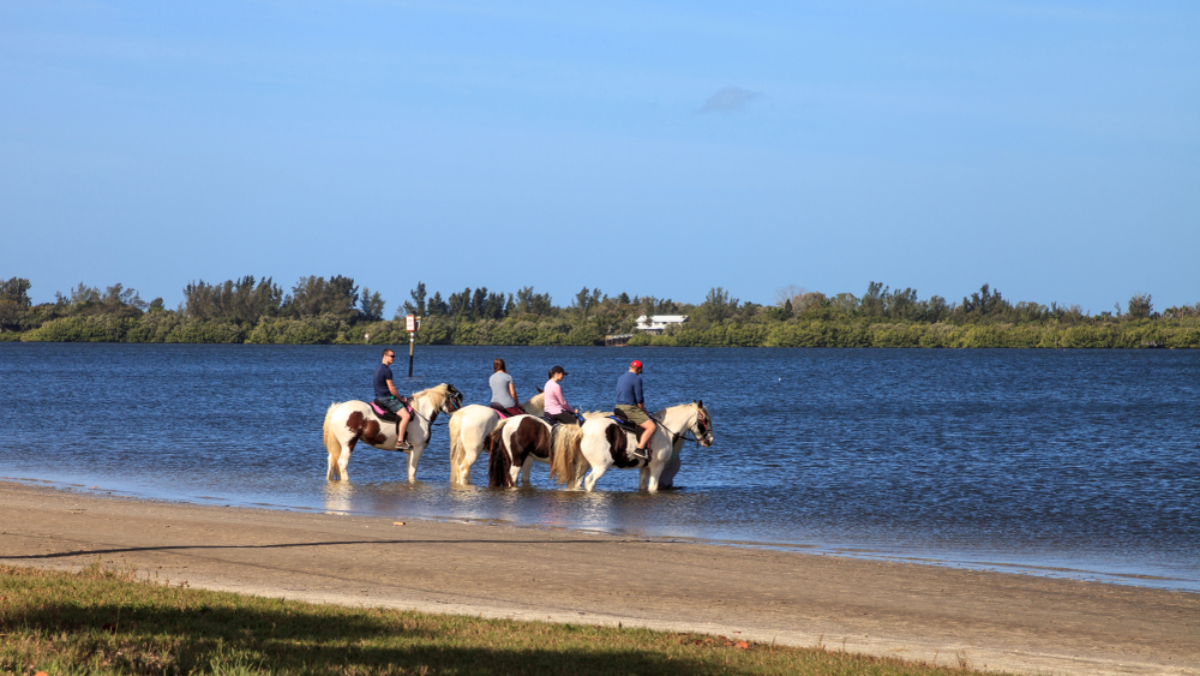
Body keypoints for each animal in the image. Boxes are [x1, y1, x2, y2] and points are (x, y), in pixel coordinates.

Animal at [322, 383, 464, 482]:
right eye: (456, 399)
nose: (462, 414)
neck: (420, 414)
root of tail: (337, 409)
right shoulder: (418, 449)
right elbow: (413, 472)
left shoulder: (410, 451)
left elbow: (409, 472)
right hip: (348, 444)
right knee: (342, 463)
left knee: (331, 461)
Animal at [566, 401, 713, 492]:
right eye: (705, 420)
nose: (710, 440)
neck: (665, 430)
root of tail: (583, 428)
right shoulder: (657, 466)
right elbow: (653, 488)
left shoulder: (644, 467)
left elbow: (642, 486)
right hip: (601, 466)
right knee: (590, 482)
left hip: (584, 464)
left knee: (578, 482)